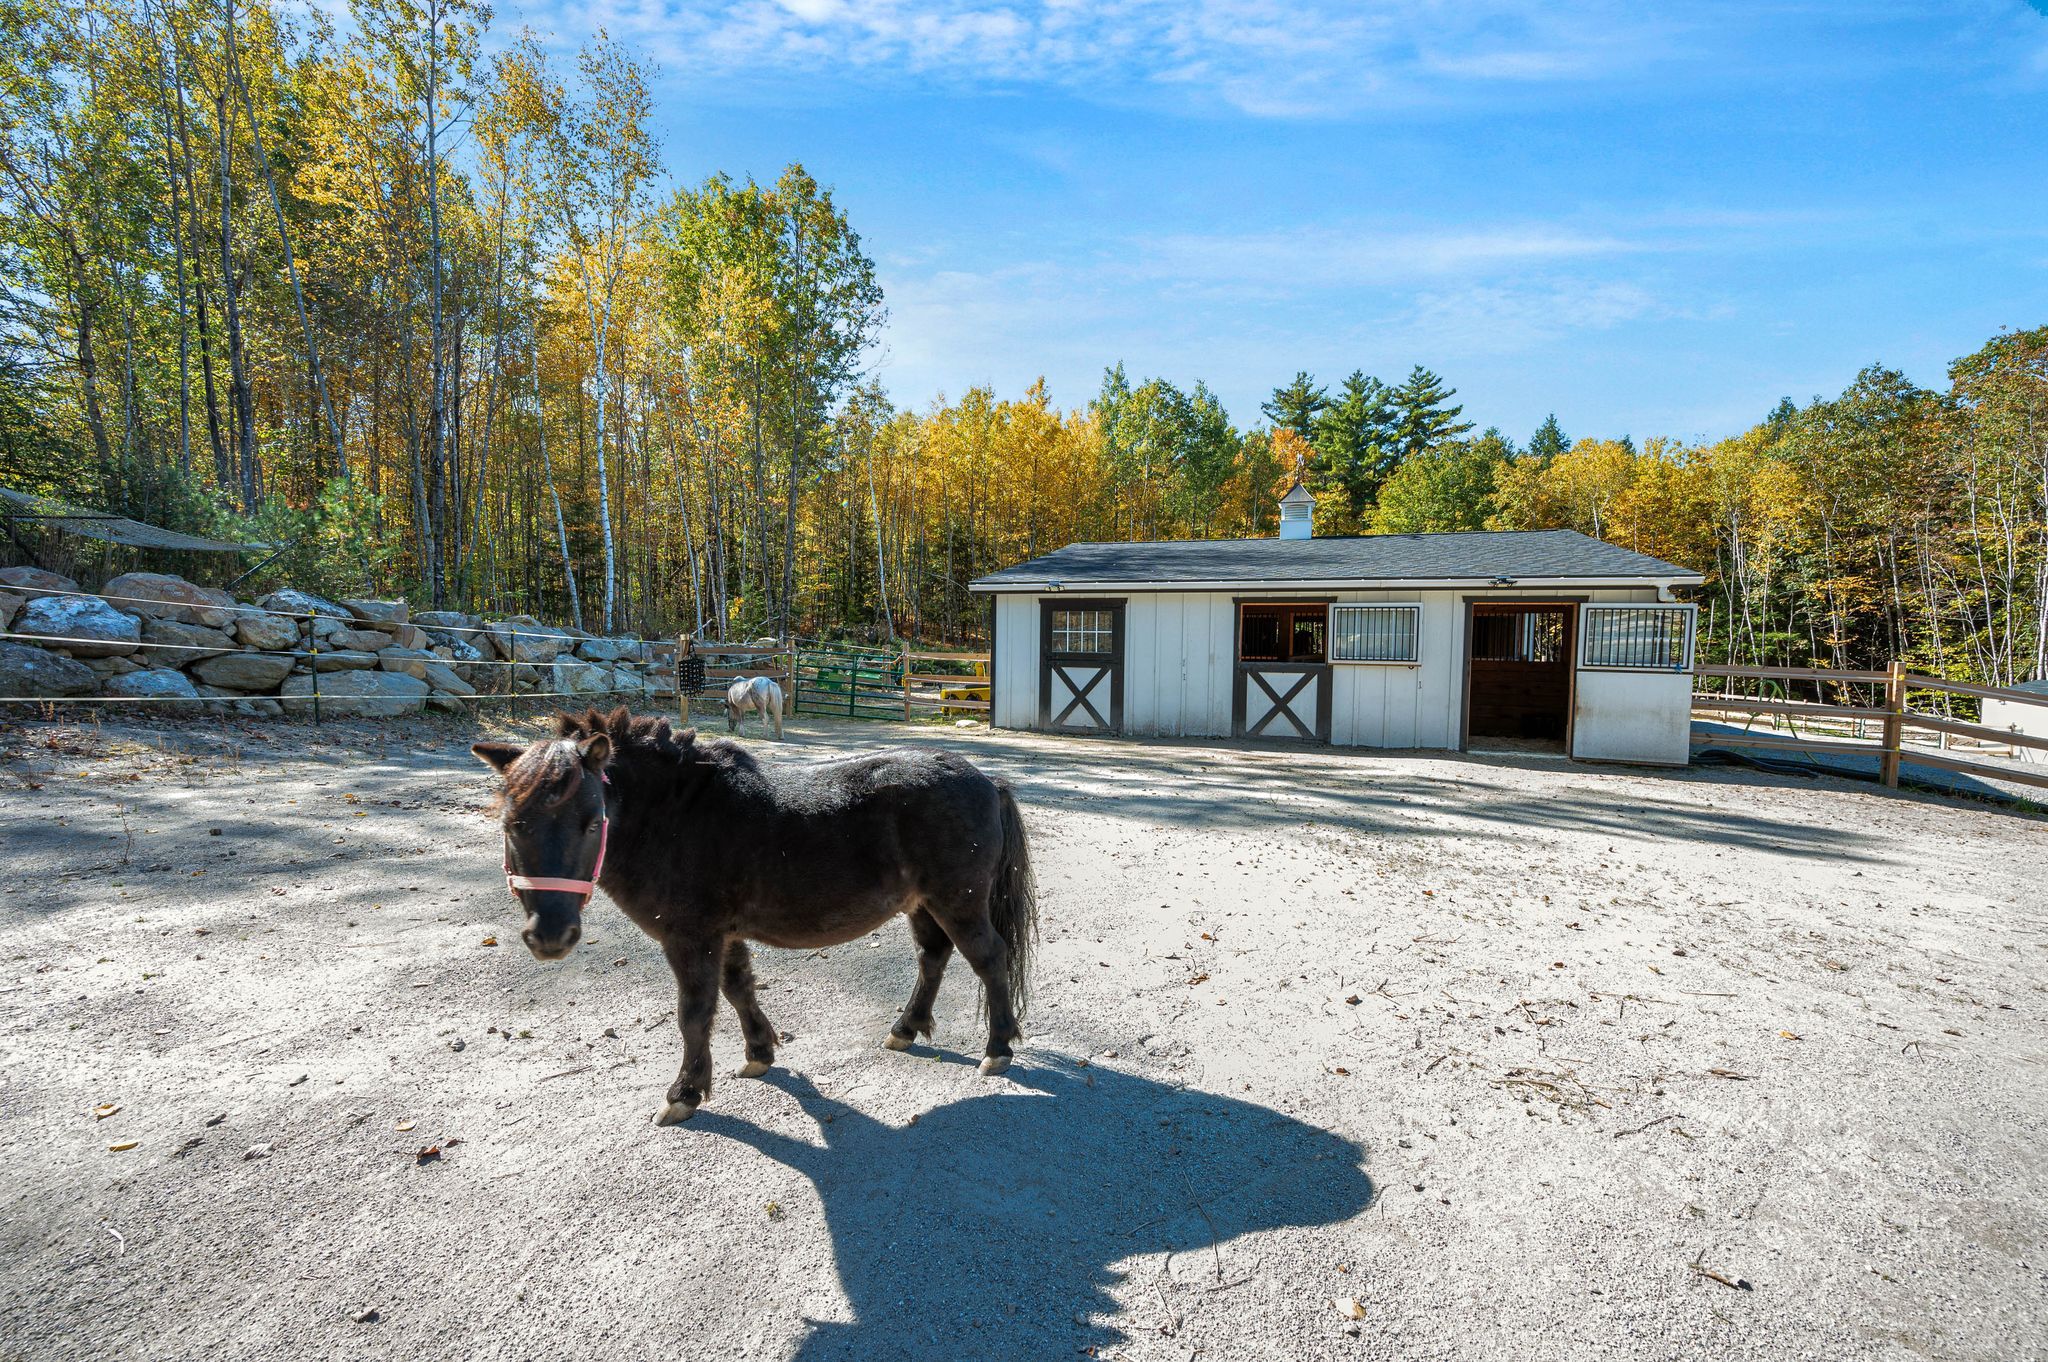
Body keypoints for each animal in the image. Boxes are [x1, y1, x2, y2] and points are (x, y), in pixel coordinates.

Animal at [472, 706, 1037, 1125]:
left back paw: (997, 1049)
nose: (550, 936)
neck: (675, 817)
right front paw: (759, 1054)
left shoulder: (690, 937)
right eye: (513, 824)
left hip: (958, 901)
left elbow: (695, 1012)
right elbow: (738, 987)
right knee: (933, 957)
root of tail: (988, 779)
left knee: (989, 959)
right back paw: (906, 1028)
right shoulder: (721, 934)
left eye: (593, 823)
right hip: (923, 904)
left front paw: (684, 1092)